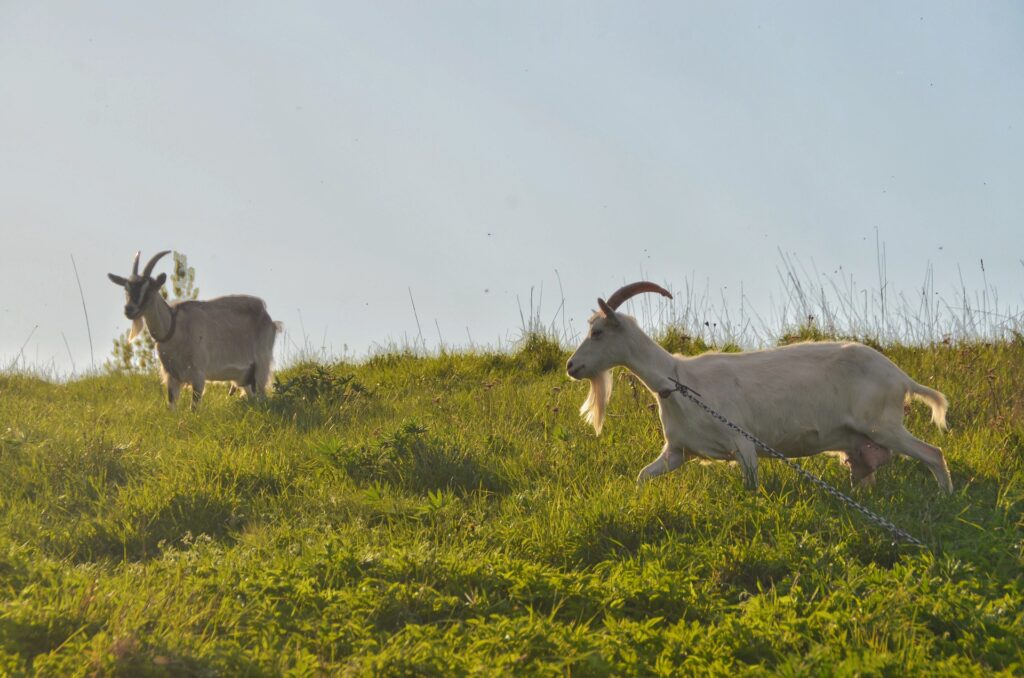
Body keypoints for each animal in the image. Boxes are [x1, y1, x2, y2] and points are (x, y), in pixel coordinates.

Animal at [108, 250, 280, 408]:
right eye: (126, 288)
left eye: (149, 288)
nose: (129, 309)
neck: (173, 328)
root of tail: (269, 319)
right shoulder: (172, 377)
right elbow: (171, 407)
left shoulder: (198, 374)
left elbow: (194, 408)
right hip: (244, 377)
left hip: (261, 365)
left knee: (263, 395)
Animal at [566, 281, 953, 493]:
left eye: (597, 332)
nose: (571, 366)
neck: (678, 380)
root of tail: (900, 377)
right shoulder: (677, 451)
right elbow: (643, 475)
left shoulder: (743, 443)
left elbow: (751, 484)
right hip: (862, 443)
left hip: (882, 425)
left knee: (934, 453)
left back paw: (946, 496)